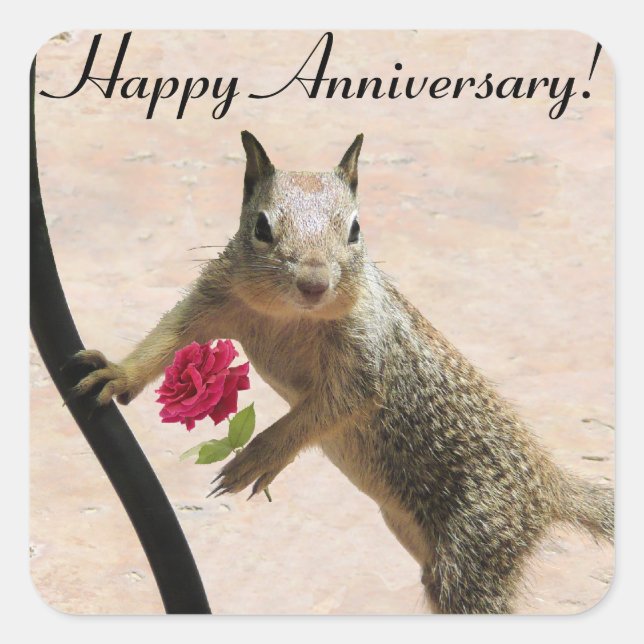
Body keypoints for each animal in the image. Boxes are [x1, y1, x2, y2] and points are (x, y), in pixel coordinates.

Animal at [70, 131, 614, 614]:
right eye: (261, 227)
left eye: (354, 229)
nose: (314, 283)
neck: (292, 316)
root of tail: (548, 486)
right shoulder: (212, 301)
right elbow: (168, 338)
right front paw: (117, 375)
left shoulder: (363, 363)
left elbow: (325, 411)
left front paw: (261, 453)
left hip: (474, 552)